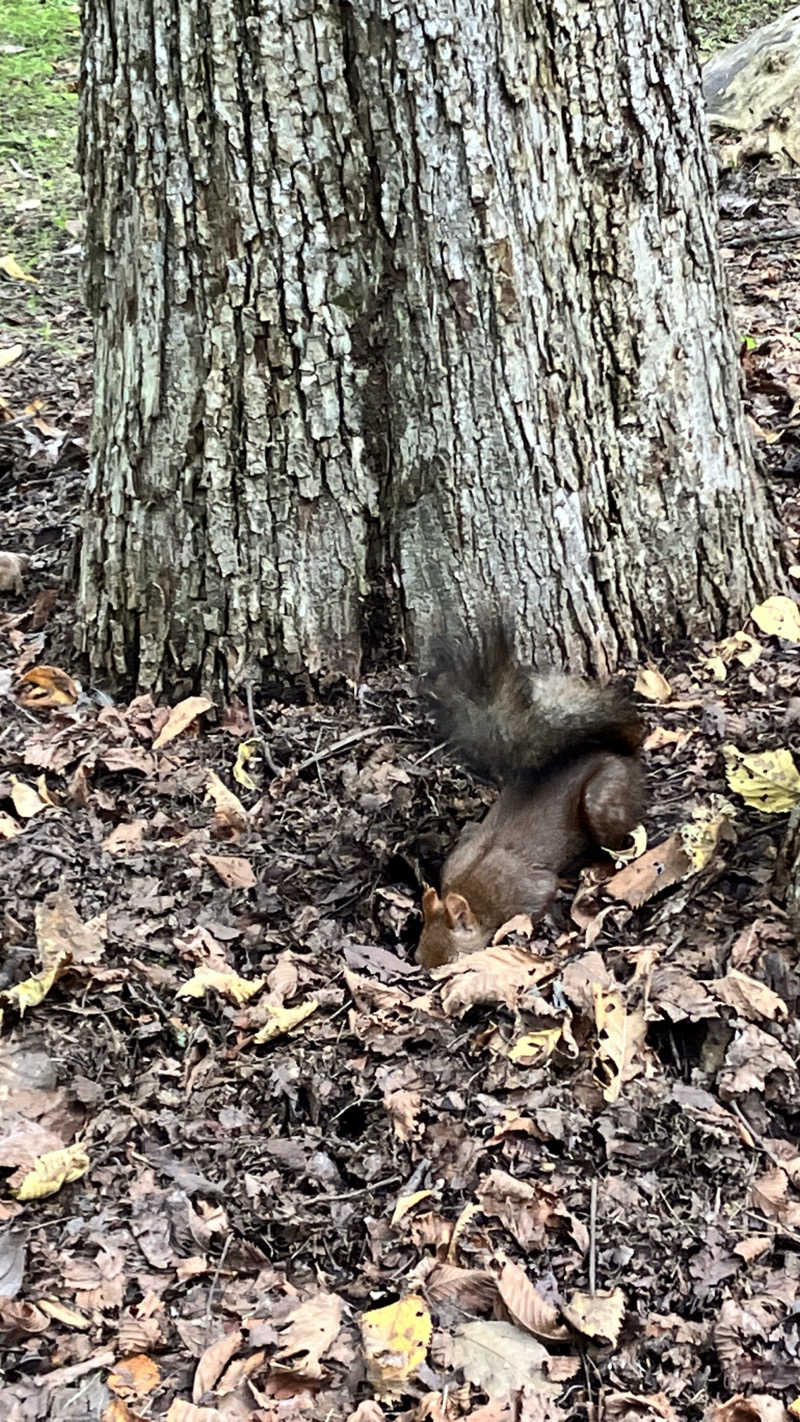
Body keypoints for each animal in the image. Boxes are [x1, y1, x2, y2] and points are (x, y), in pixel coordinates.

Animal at [420, 619, 645, 966]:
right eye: (417, 951)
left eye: (454, 959)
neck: (471, 888)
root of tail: (621, 754)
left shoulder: (524, 891)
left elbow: (542, 895)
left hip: (603, 799)